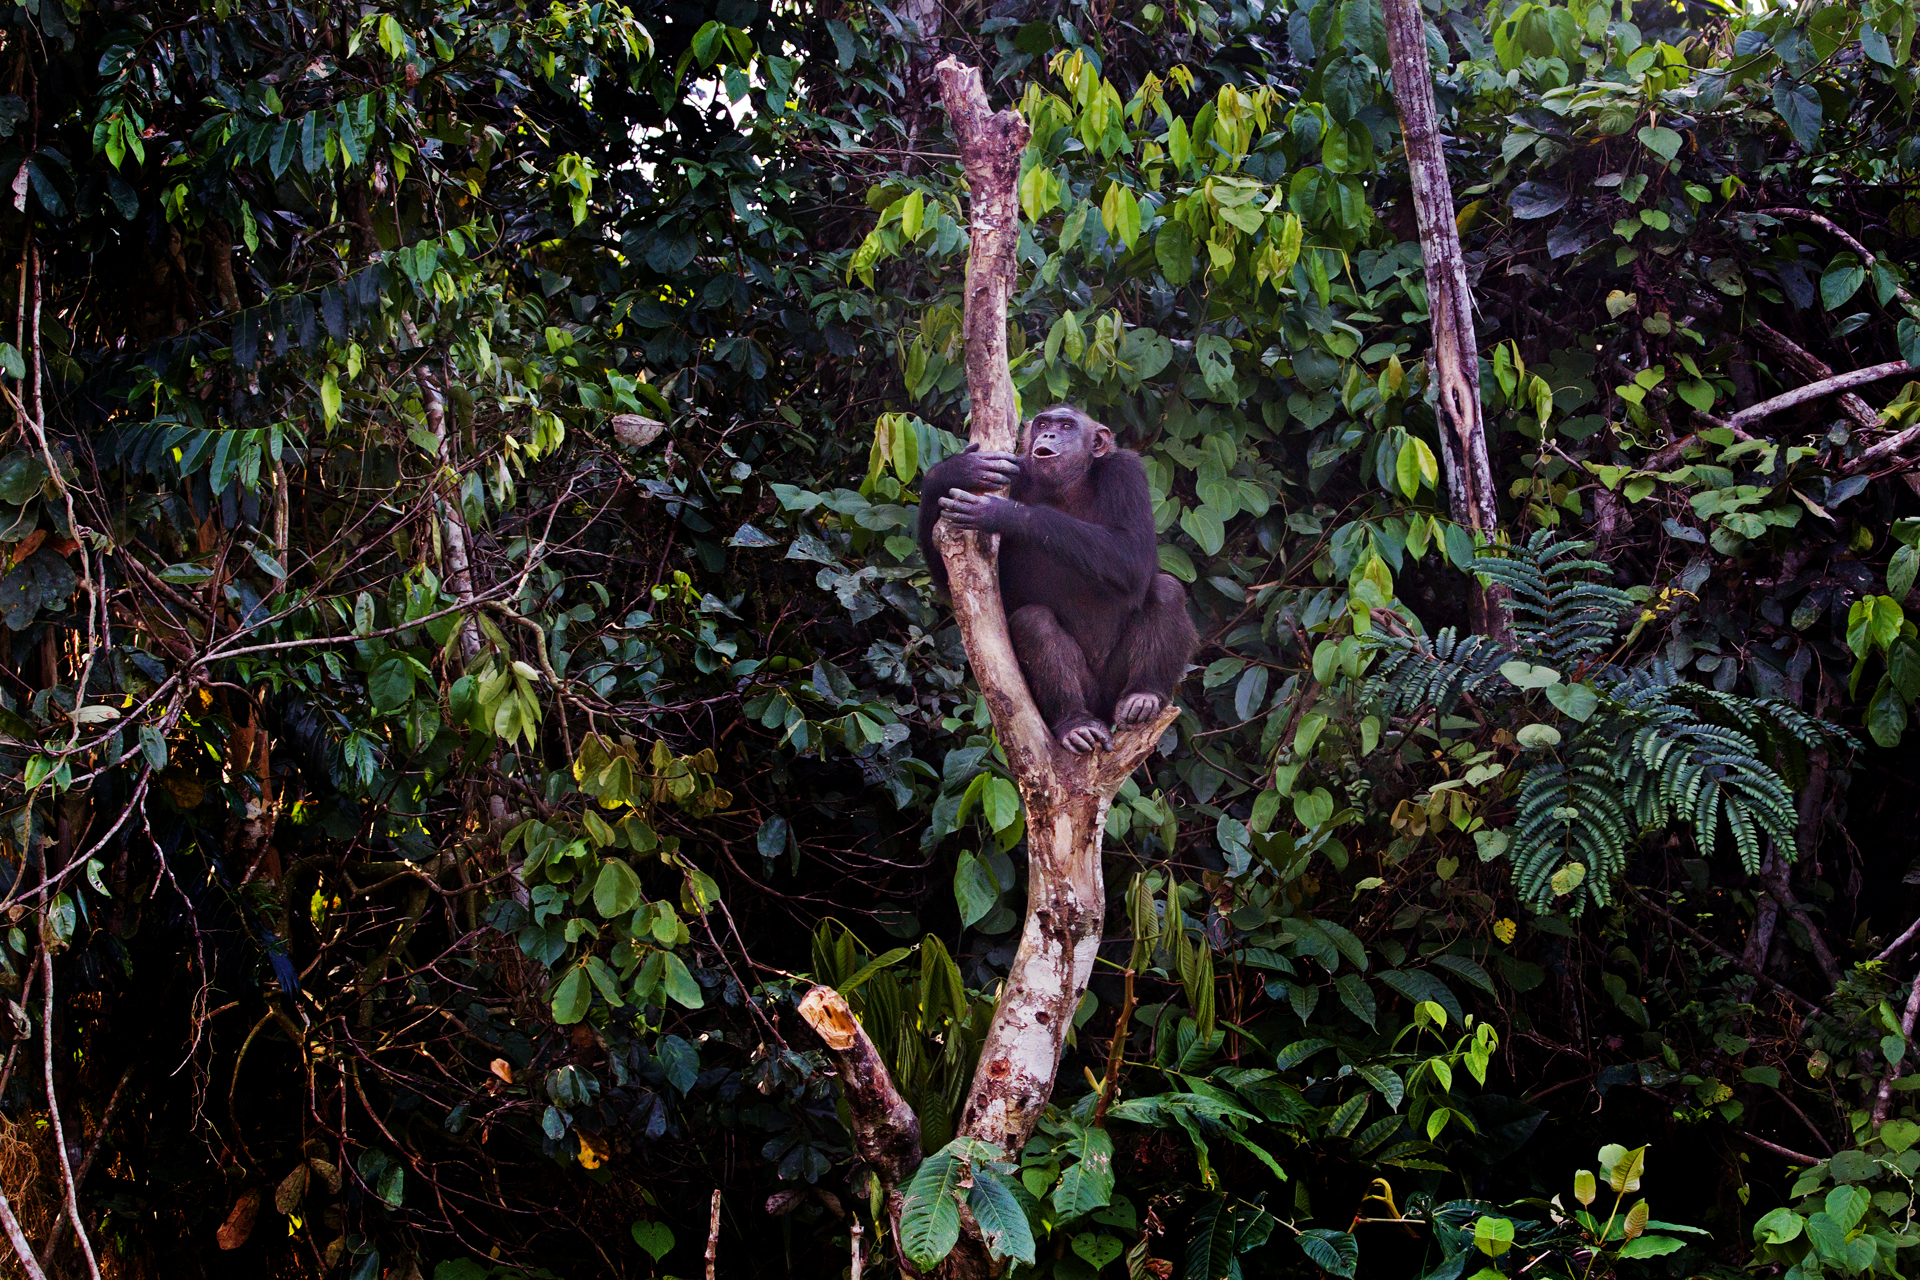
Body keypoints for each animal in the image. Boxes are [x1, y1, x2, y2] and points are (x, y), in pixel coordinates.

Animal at [918, 404, 1199, 753]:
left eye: (1066, 426)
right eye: (1042, 424)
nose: (1049, 434)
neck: (1069, 486)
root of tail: (1102, 712)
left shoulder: (1127, 472)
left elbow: (1134, 555)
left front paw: (1004, 513)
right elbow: (952, 578)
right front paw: (954, 470)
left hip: (1113, 690)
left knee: (1166, 590)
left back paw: (1143, 695)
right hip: (1085, 696)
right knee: (1034, 622)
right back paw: (1075, 723)